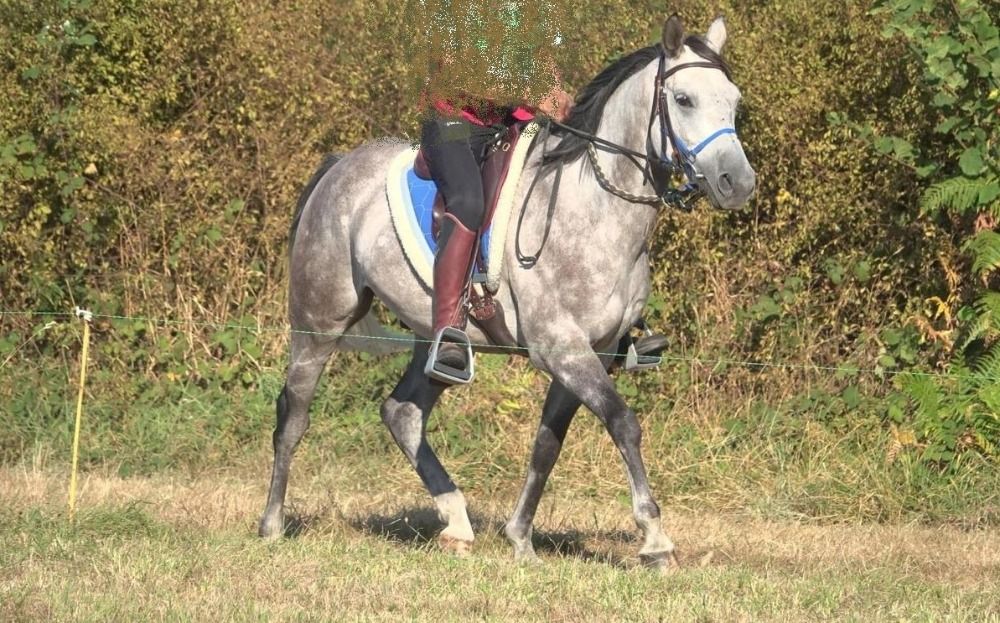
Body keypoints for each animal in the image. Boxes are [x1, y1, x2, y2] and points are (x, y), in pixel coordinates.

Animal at [258, 14, 756, 571]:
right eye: (684, 99)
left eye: (734, 102)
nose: (738, 182)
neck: (594, 211)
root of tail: (338, 167)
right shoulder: (561, 347)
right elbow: (624, 422)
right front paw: (654, 540)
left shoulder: (587, 354)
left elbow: (546, 445)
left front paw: (520, 538)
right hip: (318, 325)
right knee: (294, 415)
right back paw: (272, 525)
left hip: (437, 339)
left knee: (403, 413)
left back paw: (456, 521)